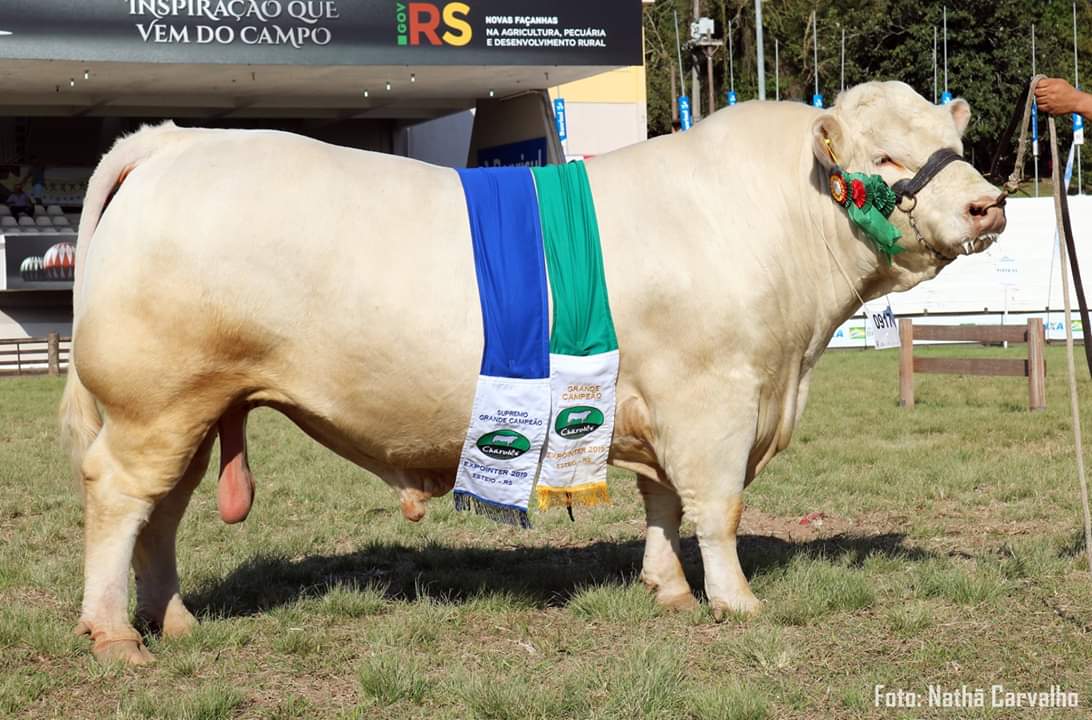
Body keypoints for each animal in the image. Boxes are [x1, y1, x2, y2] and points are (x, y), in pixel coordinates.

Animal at [61, 80, 1004, 664]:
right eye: (885, 159)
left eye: (950, 140)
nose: (987, 204)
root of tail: (177, 141)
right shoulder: (715, 397)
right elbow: (718, 509)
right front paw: (736, 603)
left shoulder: (657, 401)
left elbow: (662, 504)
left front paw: (667, 591)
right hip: (153, 402)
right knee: (117, 497)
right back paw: (114, 634)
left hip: (195, 408)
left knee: (162, 514)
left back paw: (174, 621)